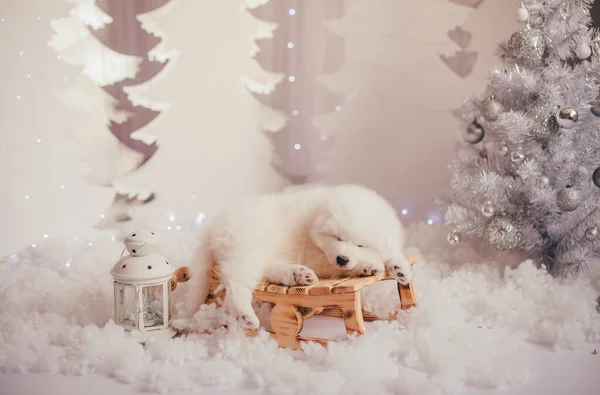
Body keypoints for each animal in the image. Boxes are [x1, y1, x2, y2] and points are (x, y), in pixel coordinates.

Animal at [185, 184, 414, 330]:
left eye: (360, 244)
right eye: (337, 237)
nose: (342, 258)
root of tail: (212, 227)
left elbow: (392, 252)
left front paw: (399, 268)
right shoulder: (320, 257)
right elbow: (338, 267)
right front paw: (368, 265)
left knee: (267, 271)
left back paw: (297, 274)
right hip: (246, 247)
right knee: (237, 281)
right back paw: (247, 315)